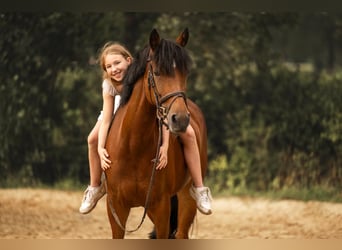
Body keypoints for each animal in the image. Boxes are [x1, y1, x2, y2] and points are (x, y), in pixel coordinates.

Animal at [103, 27, 207, 238]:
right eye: (157, 73)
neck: (133, 147)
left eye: (185, 73)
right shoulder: (116, 209)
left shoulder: (161, 207)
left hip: (186, 199)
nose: (180, 119)